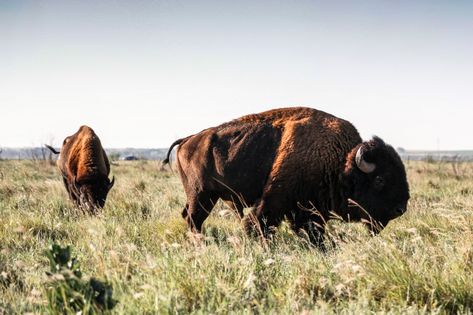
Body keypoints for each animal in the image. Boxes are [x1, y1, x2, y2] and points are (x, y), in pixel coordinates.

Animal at [163, 107, 410, 246]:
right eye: (380, 179)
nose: (401, 208)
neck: (339, 163)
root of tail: (189, 139)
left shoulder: (310, 210)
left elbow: (313, 232)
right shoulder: (274, 201)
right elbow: (258, 224)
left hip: (206, 197)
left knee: (190, 217)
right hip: (201, 195)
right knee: (194, 219)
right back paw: (199, 245)